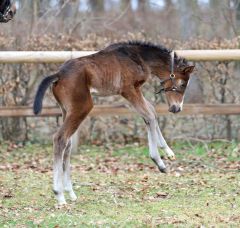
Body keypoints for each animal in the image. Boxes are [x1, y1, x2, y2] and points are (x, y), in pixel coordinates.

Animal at [33, 41, 194, 205]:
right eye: (182, 84)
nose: (176, 108)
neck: (138, 58)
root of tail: (58, 74)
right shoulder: (128, 89)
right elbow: (149, 115)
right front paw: (159, 162)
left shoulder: (135, 89)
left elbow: (151, 112)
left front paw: (168, 152)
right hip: (82, 107)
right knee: (60, 138)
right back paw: (59, 195)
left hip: (66, 110)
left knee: (68, 143)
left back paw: (70, 193)